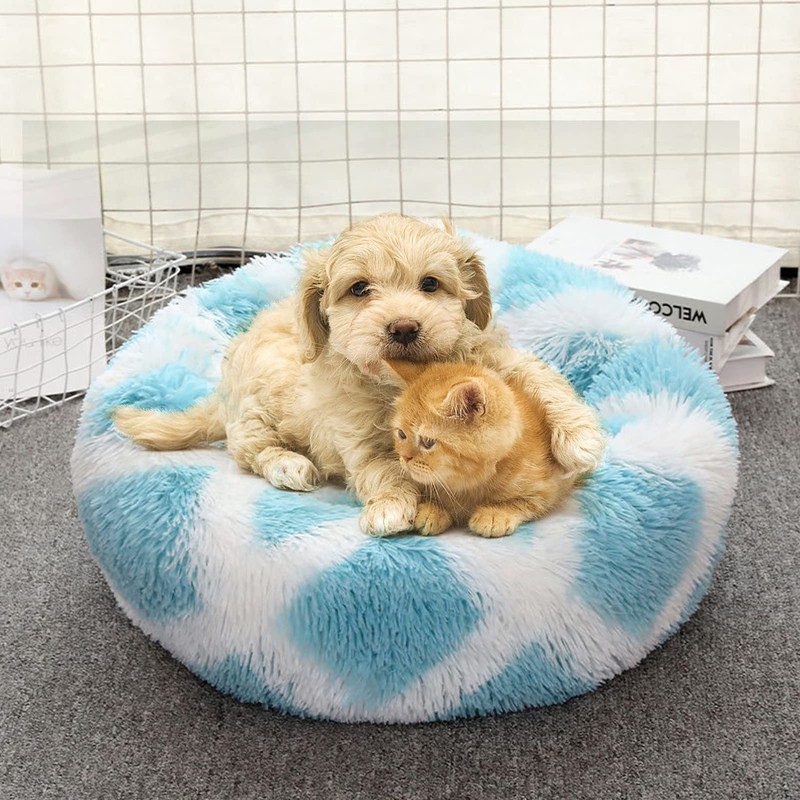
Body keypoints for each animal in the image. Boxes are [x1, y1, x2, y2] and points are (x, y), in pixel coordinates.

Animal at [388, 360, 581, 538]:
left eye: (428, 442)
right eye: (402, 435)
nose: (405, 458)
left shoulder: (548, 489)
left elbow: (524, 502)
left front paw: (495, 514)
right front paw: (433, 508)